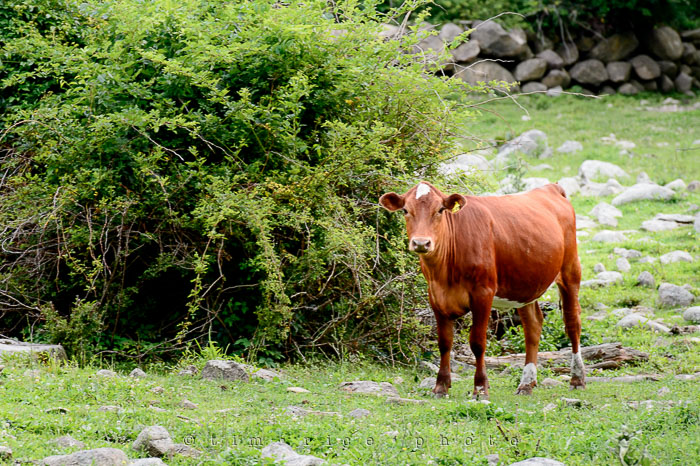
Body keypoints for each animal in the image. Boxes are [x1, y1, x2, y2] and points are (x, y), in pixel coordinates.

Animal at [379, 181, 585, 398]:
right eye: (405, 210)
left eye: (440, 210)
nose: (421, 242)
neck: (444, 274)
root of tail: (550, 188)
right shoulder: (435, 296)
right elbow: (444, 343)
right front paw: (440, 387)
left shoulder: (483, 293)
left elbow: (477, 343)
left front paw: (480, 388)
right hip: (526, 286)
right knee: (533, 327)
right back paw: (526, 384)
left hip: (570, 270)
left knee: (572, 322)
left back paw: (577, 379)